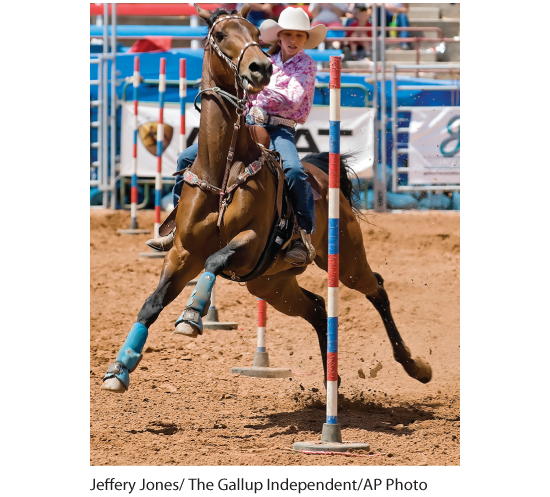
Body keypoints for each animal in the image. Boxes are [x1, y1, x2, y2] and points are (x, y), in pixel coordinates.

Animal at [101, 2, 434, 392]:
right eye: (219, 34)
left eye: (257, 34)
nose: (261, 67)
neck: (223, 169)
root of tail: (321, 173)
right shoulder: (183, 253)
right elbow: (151, 303)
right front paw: (120, 368)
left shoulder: (251, 242)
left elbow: (216, 259)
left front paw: (193, 313)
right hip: (272, 285)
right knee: (318, 307)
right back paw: (331, 381)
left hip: (345, 260)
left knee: (376, 288)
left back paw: (415, 367)